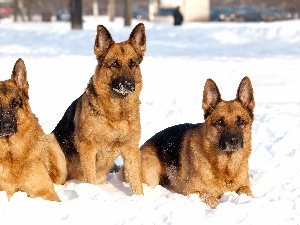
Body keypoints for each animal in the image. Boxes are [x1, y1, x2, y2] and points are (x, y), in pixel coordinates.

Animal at [52, 23, 146, 195]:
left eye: (133, 64)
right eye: (114, 64)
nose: (129, 84)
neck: (116, 114)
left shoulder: (131, 150)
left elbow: (136, 183)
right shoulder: (88, 149)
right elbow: (90, 178)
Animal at [139, 76, 254, 208]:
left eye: (241, 121)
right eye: (219, 122)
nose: (233, 140)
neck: (225, 168)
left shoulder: (245, 186)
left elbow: (246, 192)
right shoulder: (192, 191)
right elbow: (211, 199)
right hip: (151, 176)